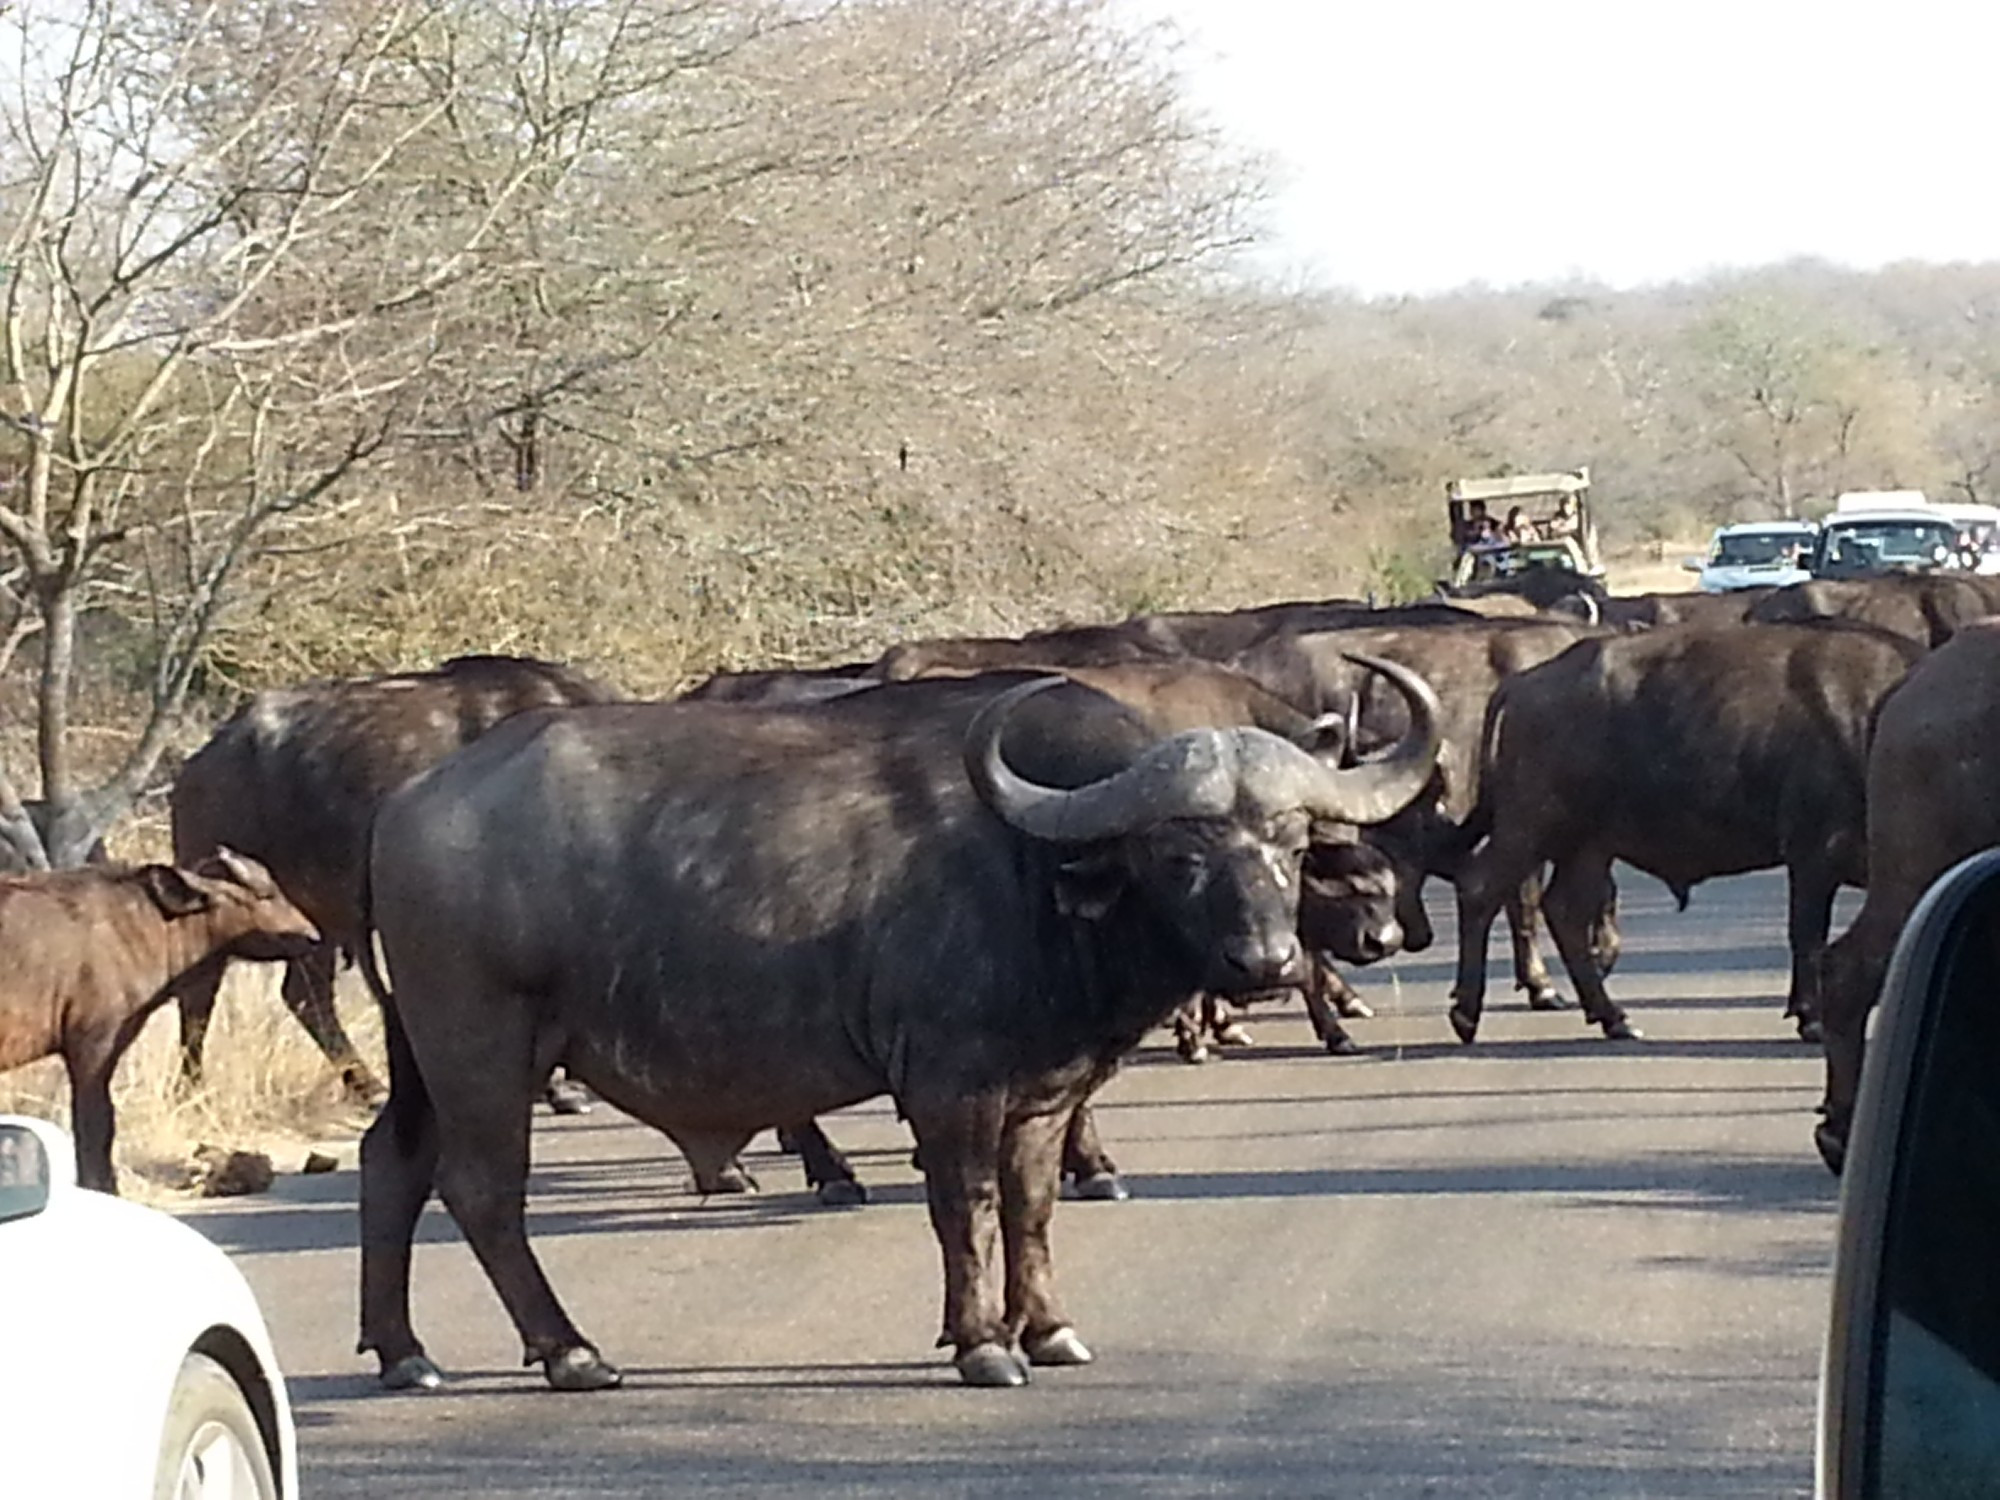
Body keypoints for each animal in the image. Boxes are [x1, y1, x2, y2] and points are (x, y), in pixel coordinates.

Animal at [348, 664, 1440, 1392]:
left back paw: (405, 1353)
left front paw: (1048, 1328)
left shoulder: (1044, 1095)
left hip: (426, 1062)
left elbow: (1032, 1206)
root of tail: (402, 810)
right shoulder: (949, 1087)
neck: (1030, 865)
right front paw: (984, 1343)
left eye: (1290, 843)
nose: (1264, 960)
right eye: (1179, 852)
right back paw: (570, 1351)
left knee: (390, 1162)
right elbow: (966, 1208)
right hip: (485, 1051)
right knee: (482, 1193)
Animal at [1448, 624, 1928, 1048]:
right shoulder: (1812, 857)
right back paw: (1467, 1013)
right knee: (1480, 888)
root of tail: (1522, 684)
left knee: (1565, 909)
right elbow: (1807, 936)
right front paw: (1810, 1018)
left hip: (1589, 845)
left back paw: (1614, 1018)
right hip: (1533, 825)